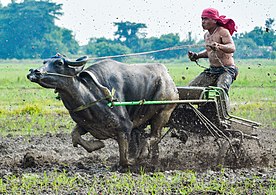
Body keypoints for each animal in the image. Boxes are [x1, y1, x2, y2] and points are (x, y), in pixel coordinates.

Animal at [27, 53, 179, 166]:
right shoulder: (87, 124)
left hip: (163, 112)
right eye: (45, 61)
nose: (34, 72)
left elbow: (124, 159)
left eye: (59, 63)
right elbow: (75, 136)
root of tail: (168, 79)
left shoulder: (124, 127)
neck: (92, 94)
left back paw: (143, 153)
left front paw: (132, 160)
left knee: (154, 136)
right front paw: (97, 145)